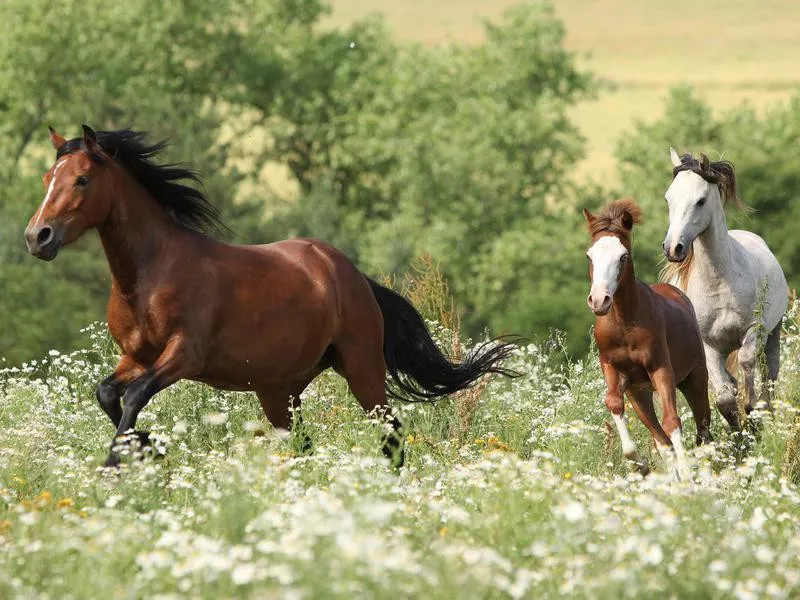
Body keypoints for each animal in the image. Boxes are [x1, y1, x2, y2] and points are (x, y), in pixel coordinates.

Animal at [25, 126, 516, 468]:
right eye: (48, 176)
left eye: (82, 179)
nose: (37, 237)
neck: (149, 273)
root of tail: (352, 274)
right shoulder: (136, 356)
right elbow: (107, 392)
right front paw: (146, 445)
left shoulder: (184, 355)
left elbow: (133, 397)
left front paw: (119, 459)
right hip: (280, 390)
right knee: (305, 445)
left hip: (362, 369)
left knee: (391, 436)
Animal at [580, 202, 712, 478]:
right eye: (589, 256)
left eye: (623, 257)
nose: (599, 300)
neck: (625, 324)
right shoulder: (613, 369)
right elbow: (614, 404)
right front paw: (639, 464)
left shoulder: (661, 369)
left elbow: (672, 421)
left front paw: (686, 471)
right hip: (640, 394)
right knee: (661, 440)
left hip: (695, 378)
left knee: (703, 428)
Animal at [664, 149, 788, 432]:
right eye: (669, 198)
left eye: (700, 201)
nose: (673, 248)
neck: (718, 285)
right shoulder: (708, 344)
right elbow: (723, 399)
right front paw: (739, 432)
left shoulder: (754, 330)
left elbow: (746, 360)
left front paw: (753, 413)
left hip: (773, 332)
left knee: (770, 373)